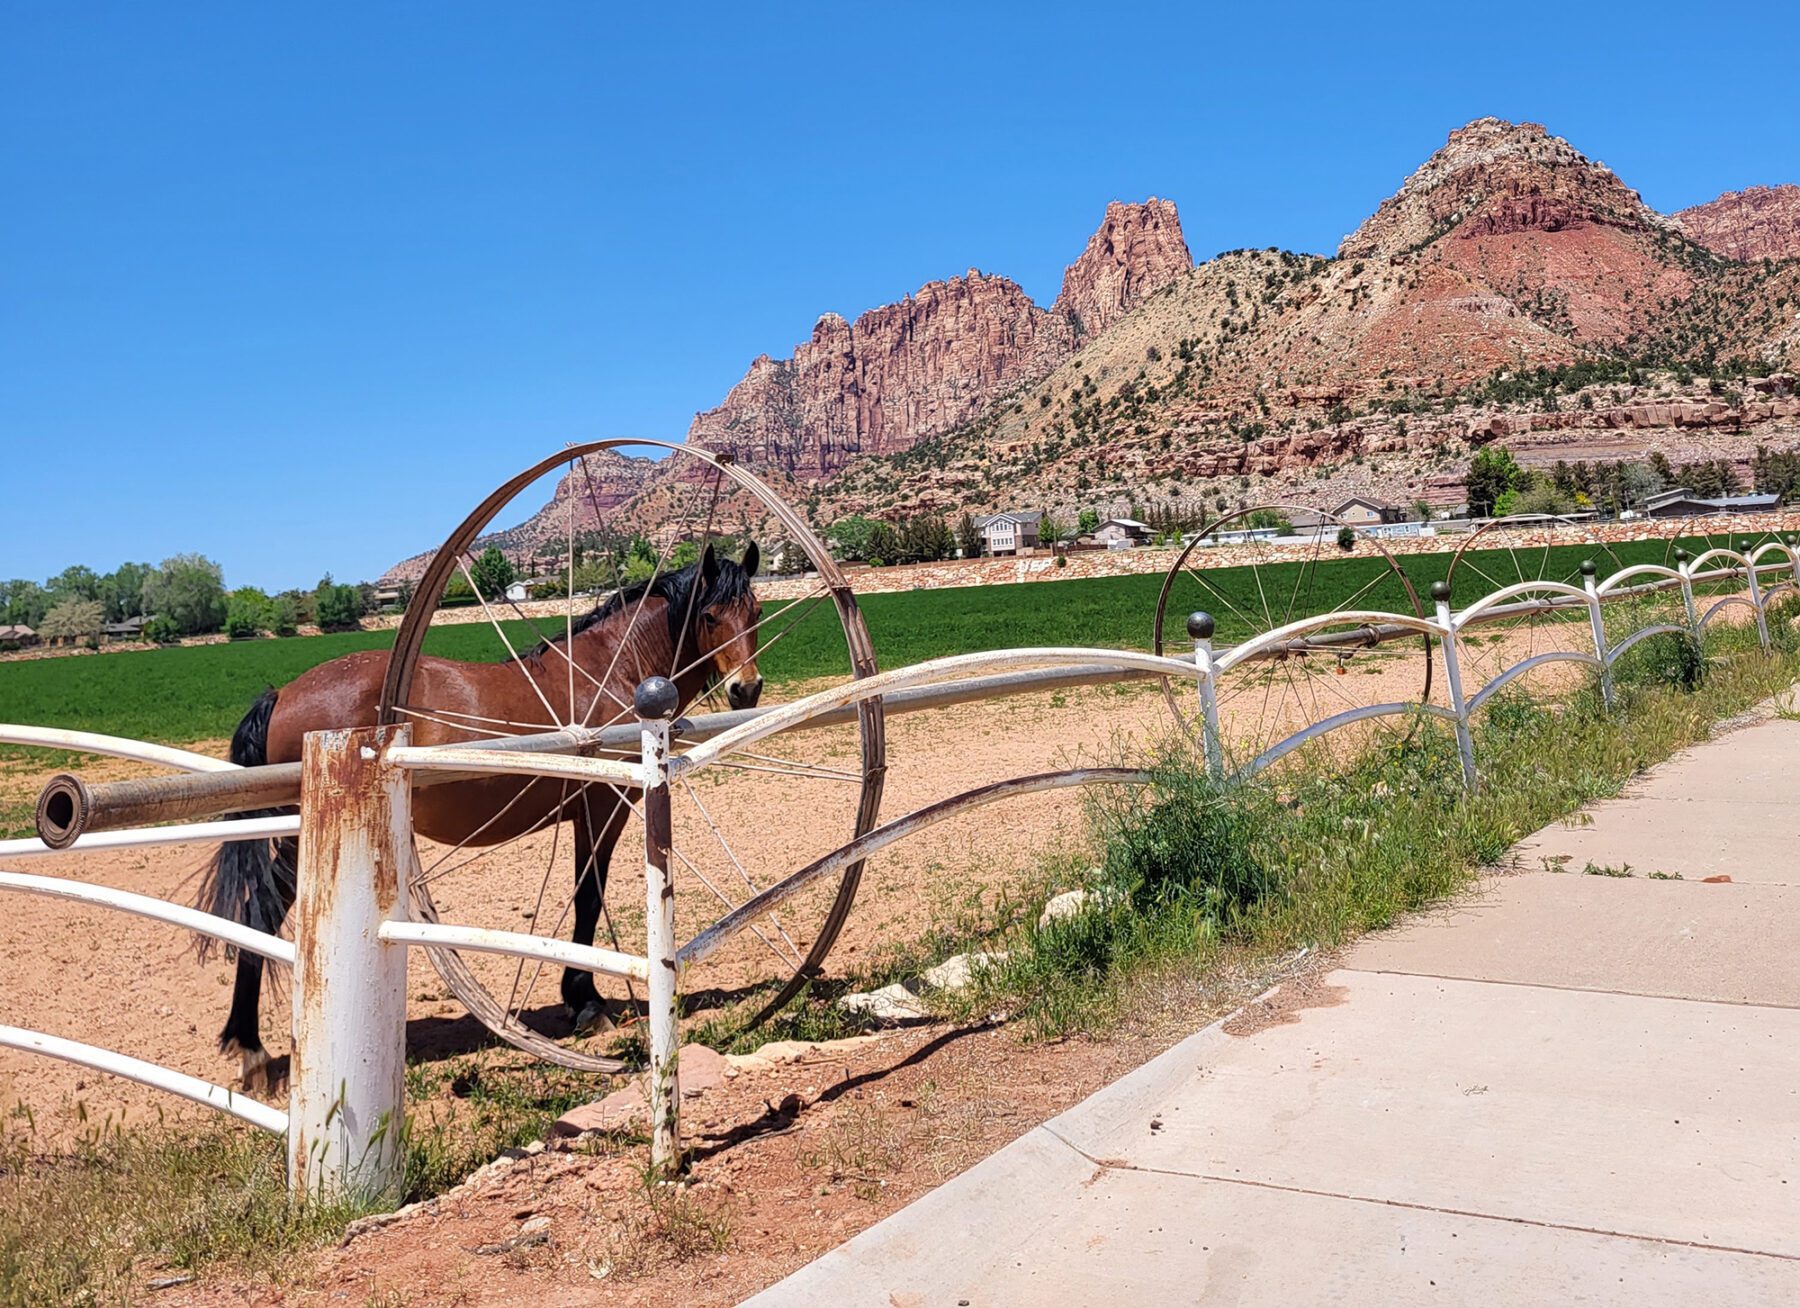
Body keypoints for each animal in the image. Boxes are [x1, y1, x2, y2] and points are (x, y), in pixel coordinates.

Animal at [200, 546, 763, 1086]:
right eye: (710, 615)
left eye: (755, 611)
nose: (747, 689)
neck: (611, 669)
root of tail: (283, 693)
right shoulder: (601, 810)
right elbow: (588, 897)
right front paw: (586, 1002)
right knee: (262, 912)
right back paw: (251, 1047)